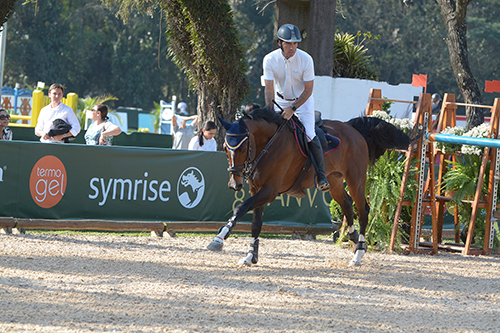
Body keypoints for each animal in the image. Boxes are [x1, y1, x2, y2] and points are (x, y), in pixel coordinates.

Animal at [208, 107, 410, 266]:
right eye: (225, 148)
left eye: (242, 149)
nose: (235, 184)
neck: (269, 144)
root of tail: (352, 128)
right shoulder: (257, 190)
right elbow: (256, 224)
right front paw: (251, 256)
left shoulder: (269, 191)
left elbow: (240, 208)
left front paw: (219, 238)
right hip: (334, 181)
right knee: (346, 205)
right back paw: (354, 240)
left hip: (356, 180)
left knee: (363, 210)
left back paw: (358, 255)